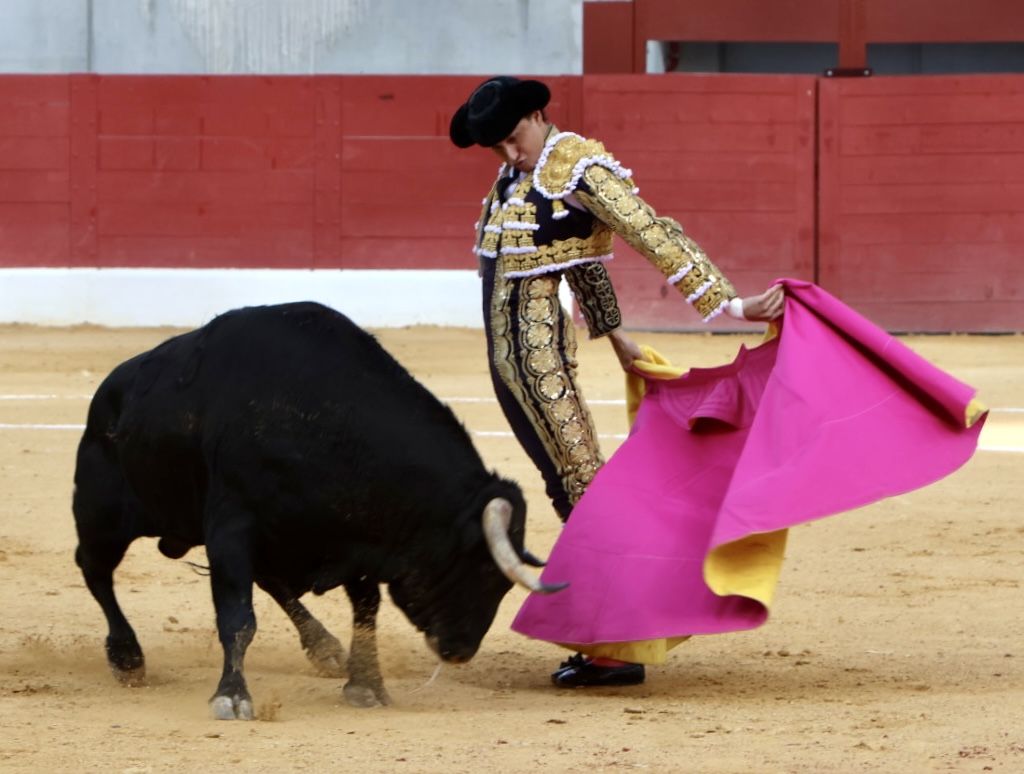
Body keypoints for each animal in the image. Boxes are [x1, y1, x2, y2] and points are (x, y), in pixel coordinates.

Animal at [74, 303, 561, 720]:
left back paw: (325, 648)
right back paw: (127, 657)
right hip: (103, 515)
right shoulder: (232, 527)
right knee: (95, 569)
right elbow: (237, 618)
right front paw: (232, 697)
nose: (462, 649)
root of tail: (109, 392)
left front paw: (366, 685)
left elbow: (366, 611)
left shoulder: (361, 536)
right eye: (481, 569)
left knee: (271, 580)